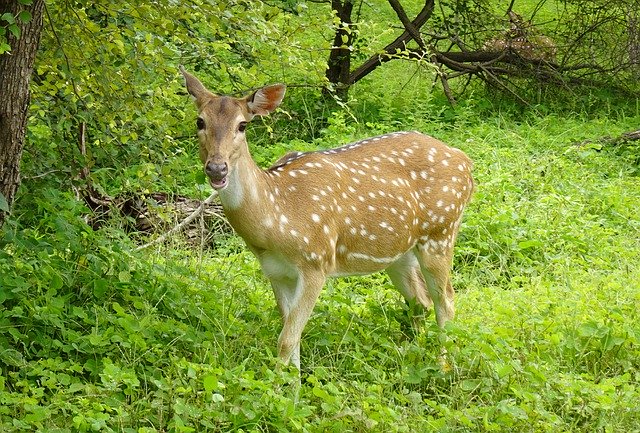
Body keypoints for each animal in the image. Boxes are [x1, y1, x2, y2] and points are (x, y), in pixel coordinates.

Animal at [179, 66, 474, 370]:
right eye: (200, 121)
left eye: (242, 125)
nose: (217, 168)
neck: (274, 221)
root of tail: (465, 161)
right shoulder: (276, 272)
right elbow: (291, 335)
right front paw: (292, 381)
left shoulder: (316, 261)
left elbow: (286, 339)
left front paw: (280, 383)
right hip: (399, 252)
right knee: (421, 301)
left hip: (441, 232)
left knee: (446, 301)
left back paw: (442, 367)